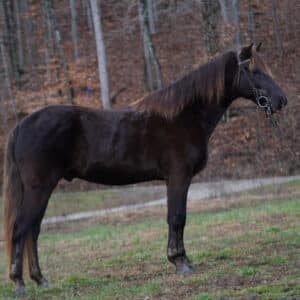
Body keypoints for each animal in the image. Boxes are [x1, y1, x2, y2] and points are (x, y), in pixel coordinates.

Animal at [2, 43, 288, 294]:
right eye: (254, 71)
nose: (282, 101)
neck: (185, 117)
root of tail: (22, 125)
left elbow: (178, 219)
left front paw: (181, 260)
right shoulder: (178, 177)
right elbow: (177, 217)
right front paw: (180, 262)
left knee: (33, 231)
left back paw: (41, 280)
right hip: (40, 187)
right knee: (21, 229)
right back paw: (20, 283)